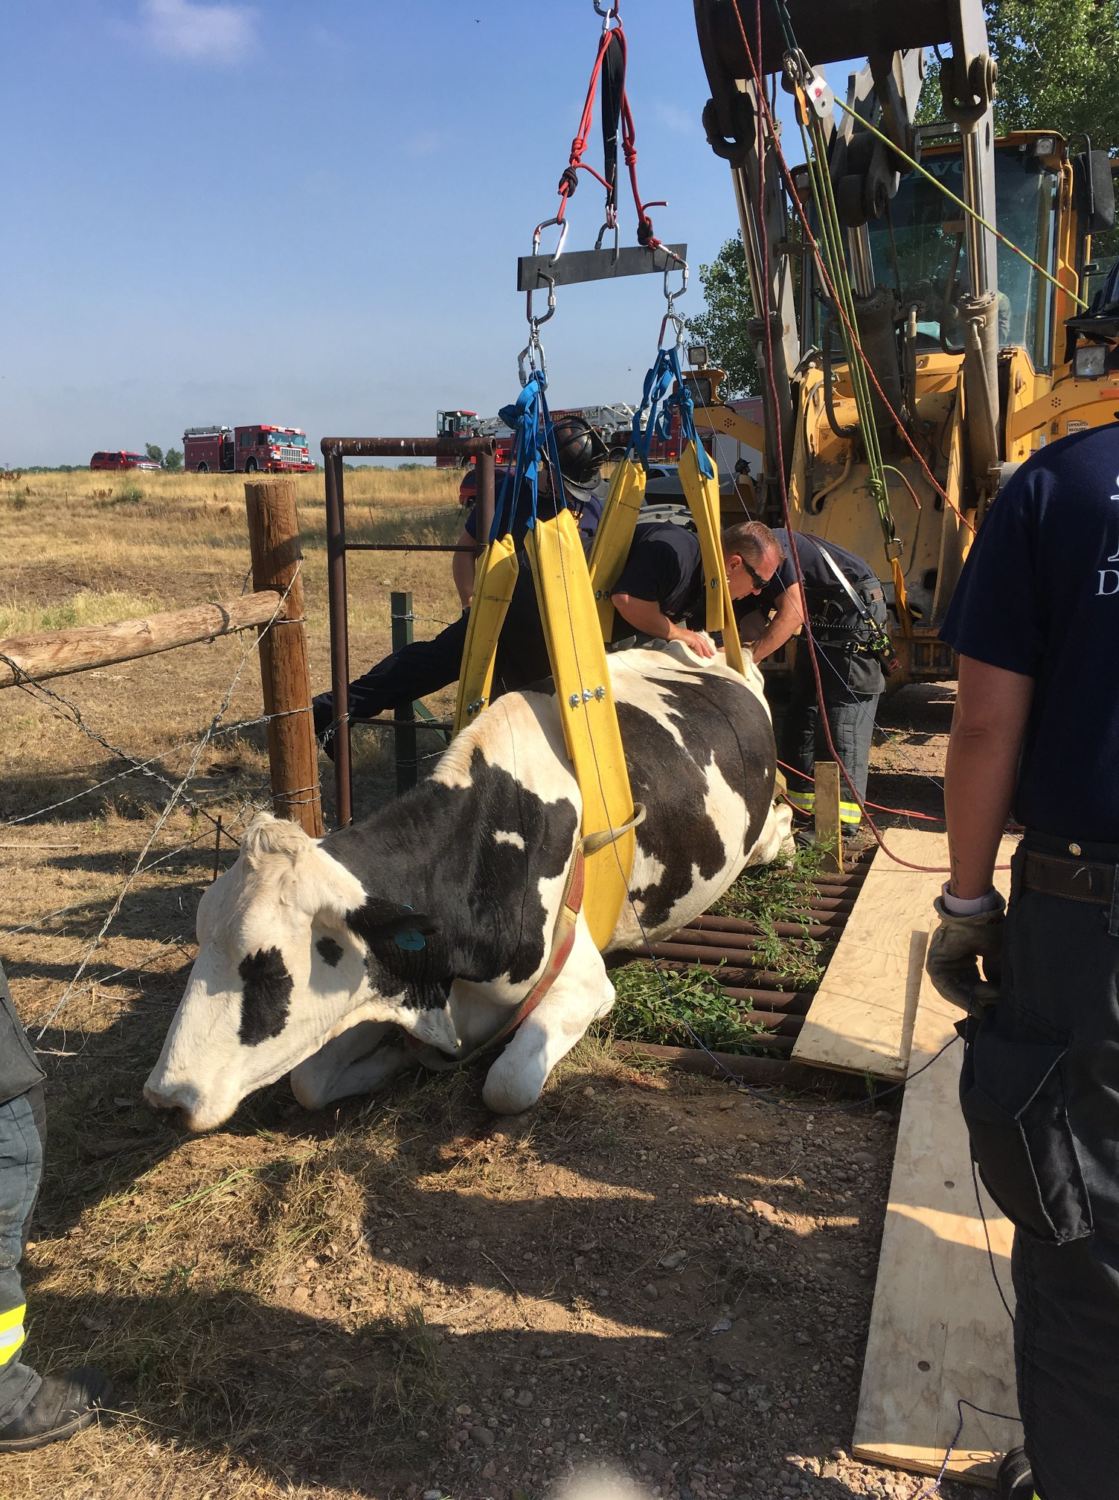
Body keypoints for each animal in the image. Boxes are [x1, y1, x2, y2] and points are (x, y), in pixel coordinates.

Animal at [144, 639, 792, 1128]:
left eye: (267, 965)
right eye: (200, 943)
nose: (164, 1098)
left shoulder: (583, 982)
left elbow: (506, 1083)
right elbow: (309, 1078)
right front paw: (394, 1060)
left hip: (760, 828)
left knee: (779, 822)